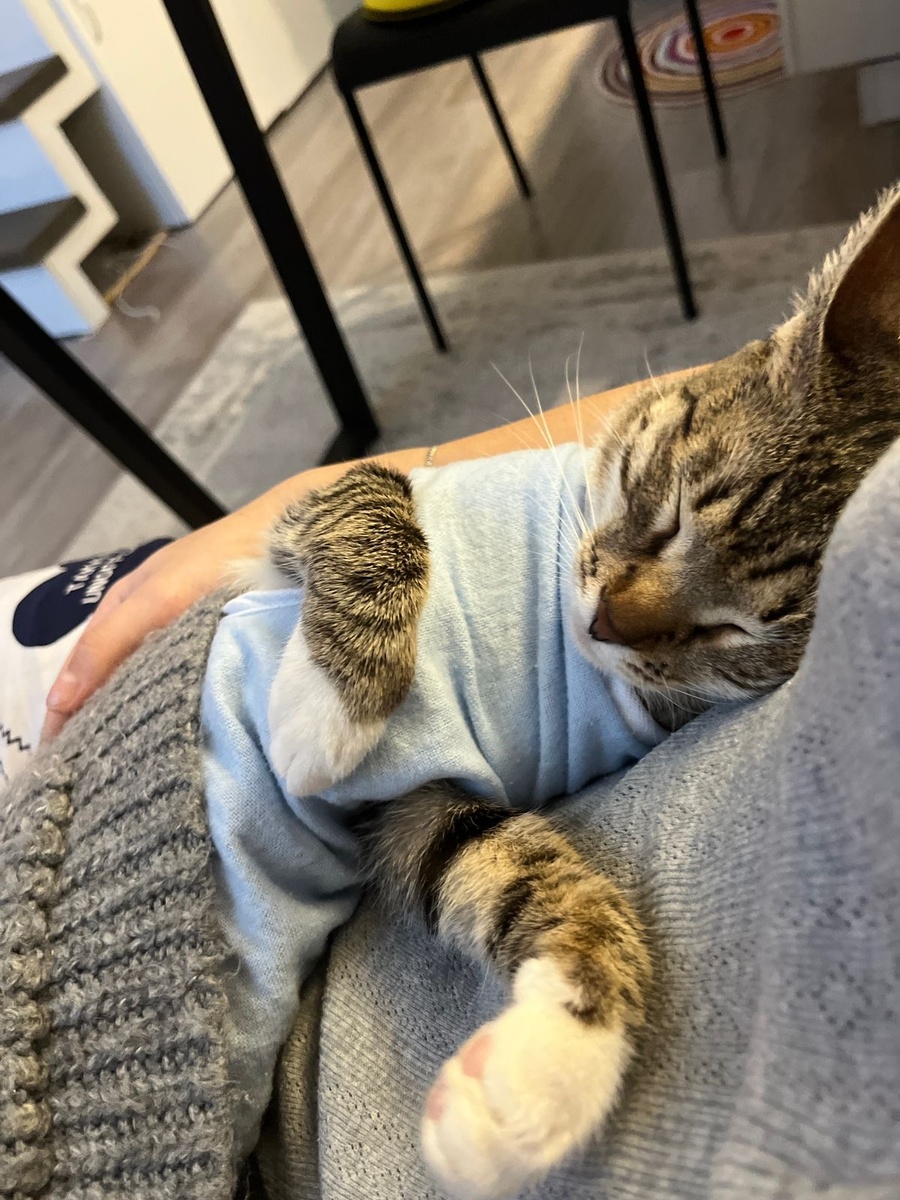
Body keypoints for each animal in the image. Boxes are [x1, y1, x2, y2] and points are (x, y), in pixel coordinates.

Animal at [253, 184, 900, 1200]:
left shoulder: (414, 806)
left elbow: (500, 864)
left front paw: (547, 1066)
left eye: (736, 633)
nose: (604, 623)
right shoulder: (306, 515)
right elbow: (367, 499)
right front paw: (327, 711)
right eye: (667, 502)